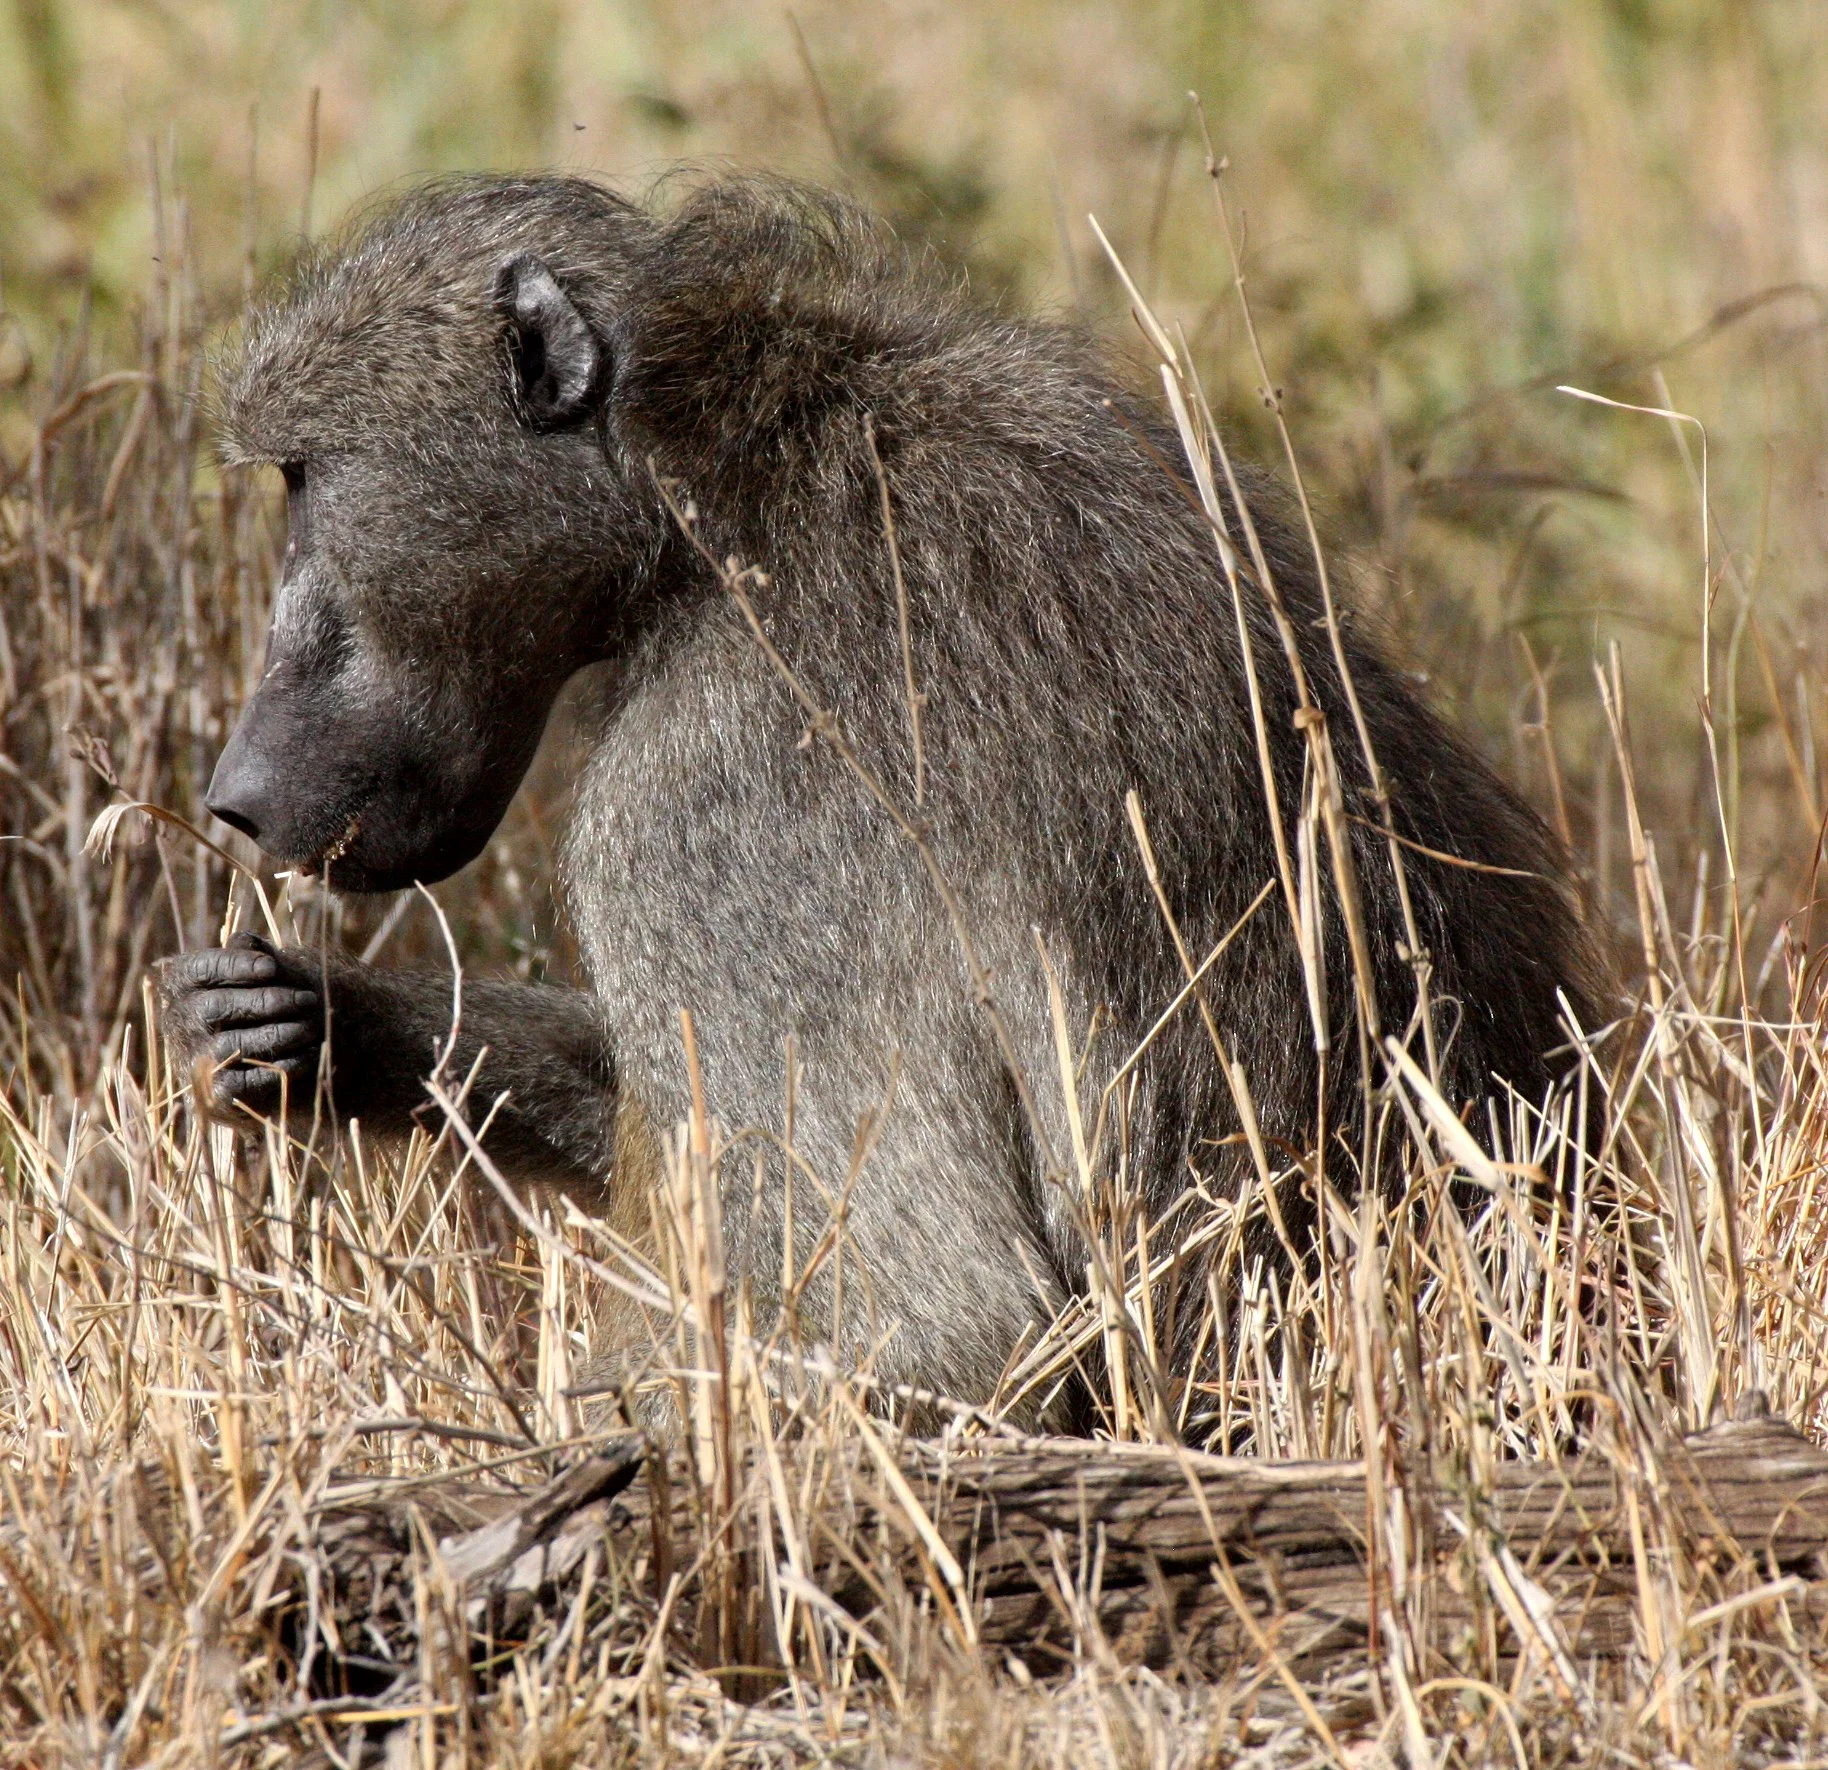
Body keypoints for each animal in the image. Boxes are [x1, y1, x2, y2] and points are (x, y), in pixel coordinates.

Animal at [157, 172, 1599, 1430]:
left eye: (301, 475)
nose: (235, 797)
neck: (721, 496)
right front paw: (315, 1024)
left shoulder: (705, 810)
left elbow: (947, 1325)